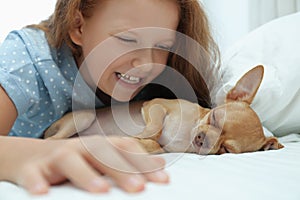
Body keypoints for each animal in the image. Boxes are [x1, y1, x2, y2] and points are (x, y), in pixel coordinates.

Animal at [44, 65, 284, 155]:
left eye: (225, 149)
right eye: (214, 117)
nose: (201, 139)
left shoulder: (165, 148)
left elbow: (154, 145)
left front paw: (139, 142)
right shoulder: (155, 105)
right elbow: (155, 127)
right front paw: (143, 134)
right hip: (85, 116)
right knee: (50, 141)